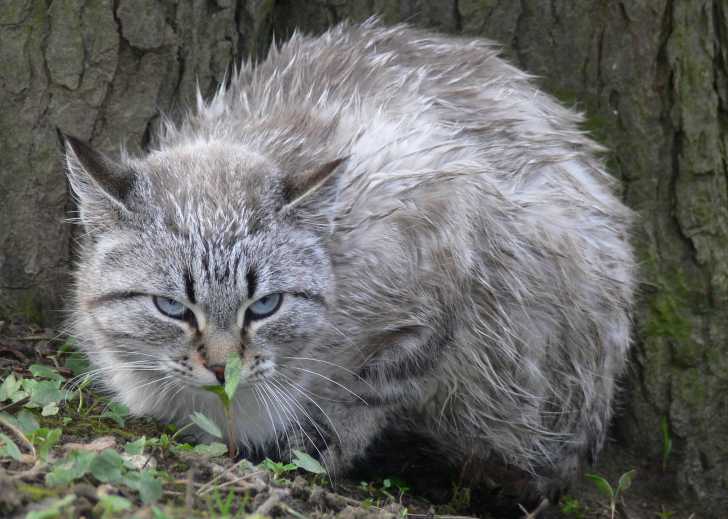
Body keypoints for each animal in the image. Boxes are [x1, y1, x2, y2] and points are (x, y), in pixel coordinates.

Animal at [61, 19, 632, 504]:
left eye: (264, 306)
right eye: (172, 309)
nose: (222, 368)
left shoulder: (447, 250)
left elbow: (366, 397)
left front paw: (310, 450)